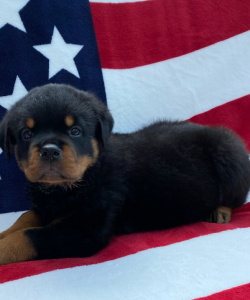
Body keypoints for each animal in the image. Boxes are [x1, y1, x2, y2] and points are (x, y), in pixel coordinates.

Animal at [0, 84, 250, 264]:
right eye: (26, 134)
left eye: (75, 131)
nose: (49, 150)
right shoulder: (46, 208)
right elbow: (25, 218)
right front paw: (5, 232)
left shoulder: (87, 230)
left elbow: (27, 237)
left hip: (230, 154)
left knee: (235, 197)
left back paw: (220, 211)